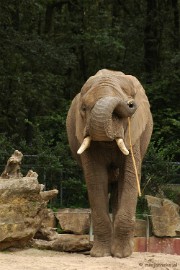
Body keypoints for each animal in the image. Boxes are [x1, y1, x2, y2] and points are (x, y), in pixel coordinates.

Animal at [66, 69, 153, 258]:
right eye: (84, 109)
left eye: (120, 114)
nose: (131, 103)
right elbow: (96, 178)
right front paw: (99, 254)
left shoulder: (134, 134)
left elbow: (130, 176)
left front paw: (122, 255)